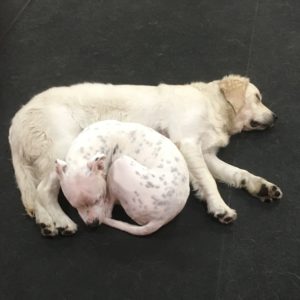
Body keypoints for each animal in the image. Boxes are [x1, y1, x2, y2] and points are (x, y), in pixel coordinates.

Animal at [55, 120, 189, 236]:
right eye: (74, 206)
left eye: (98, 199)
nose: (93, 224)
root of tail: (161, 219)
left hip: (118, 165)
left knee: (108, 212)